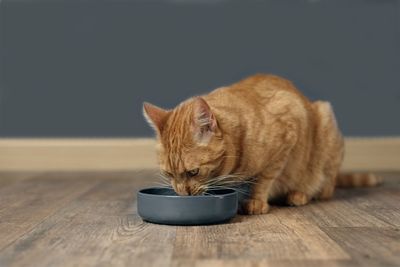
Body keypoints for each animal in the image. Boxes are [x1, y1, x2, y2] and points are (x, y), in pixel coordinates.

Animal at [143, 74, 382, 216]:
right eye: (169, 174)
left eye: (193, 172)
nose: (183, 194)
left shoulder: (289, 129)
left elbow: (265, 178)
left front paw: (256, 200)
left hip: (326, 122)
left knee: (325, 187)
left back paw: (299, 194)